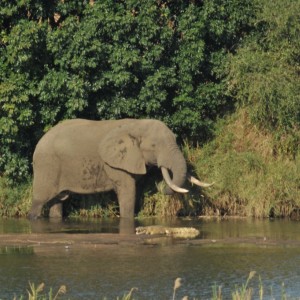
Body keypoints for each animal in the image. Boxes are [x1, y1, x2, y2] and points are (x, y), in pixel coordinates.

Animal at [27, 118, 211, 219]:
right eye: (154, 145)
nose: (159, 184)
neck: (137, 124)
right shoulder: (116, 164)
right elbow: (128, 191)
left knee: (57, 201)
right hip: (46, 165)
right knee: (39, 200)